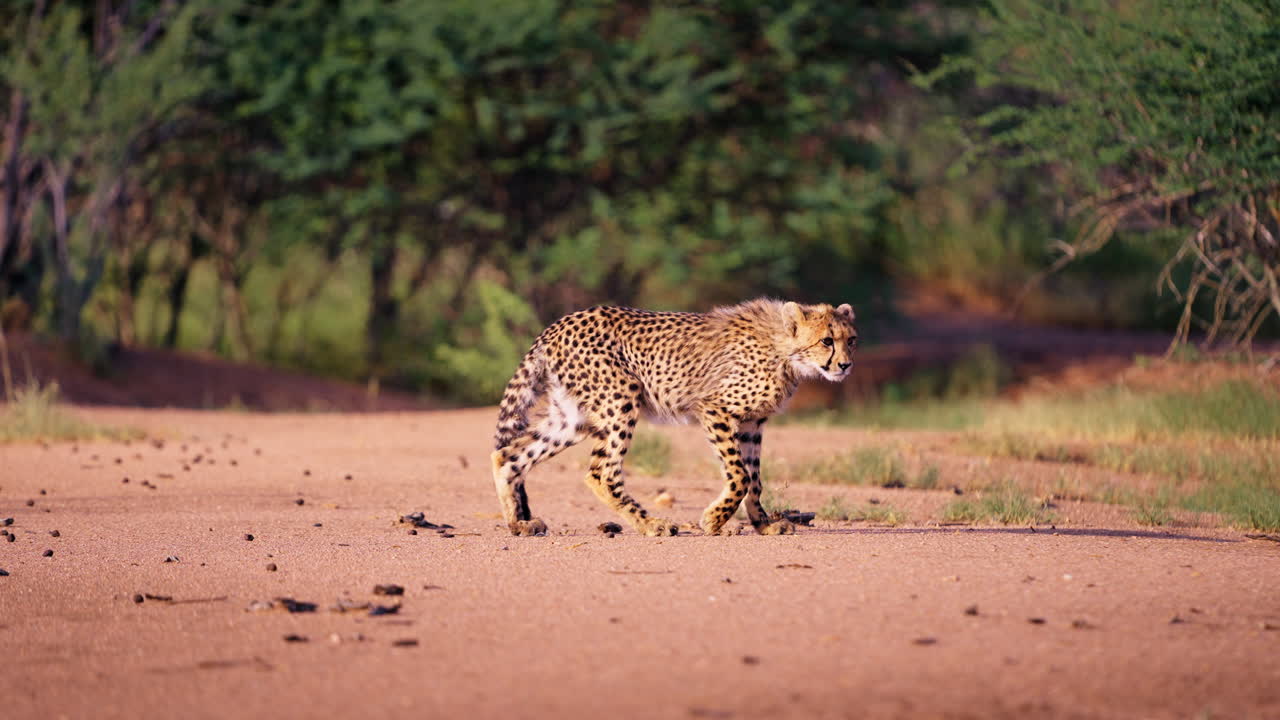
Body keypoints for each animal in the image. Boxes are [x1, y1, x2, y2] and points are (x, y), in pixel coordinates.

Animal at [490, 298, 858, 537]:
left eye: (851, 340)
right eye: (827, 340)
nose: (845, 365)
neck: (784, 349)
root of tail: (557, 324)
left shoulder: (753, 423)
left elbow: (754, 479)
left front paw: (763, 524)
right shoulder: (713, 407)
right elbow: (739, 475)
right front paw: (713, 521)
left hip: (573, 418)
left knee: (509, 455)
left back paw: (518, 524)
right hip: (620, 400)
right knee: (601, 472)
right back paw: (652, 524)